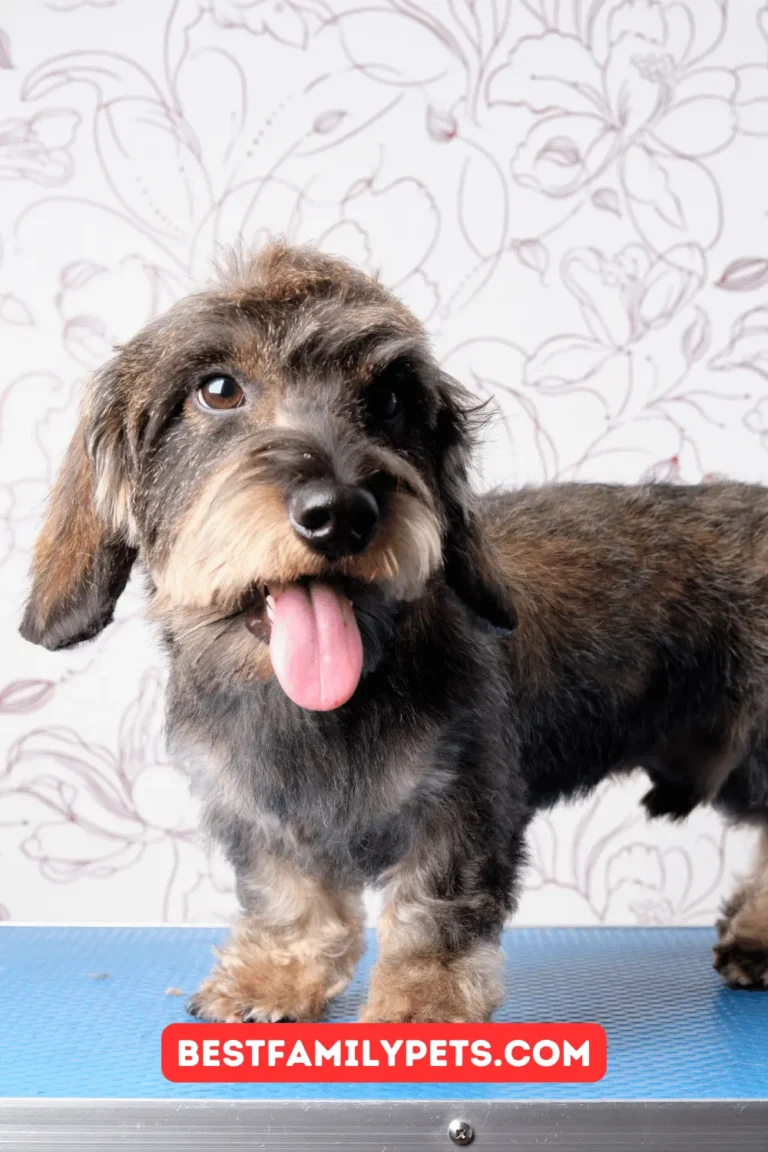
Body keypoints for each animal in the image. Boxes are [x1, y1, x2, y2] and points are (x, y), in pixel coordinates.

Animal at [17, 243, 768, 1018]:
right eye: (218, 389)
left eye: (391, 400)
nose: (341, 513)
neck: (317, 710)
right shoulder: (259, 815)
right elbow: (290, 898)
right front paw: (275, 974)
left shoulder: (464, 804)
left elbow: (432, 911)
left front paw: (422, 1006)